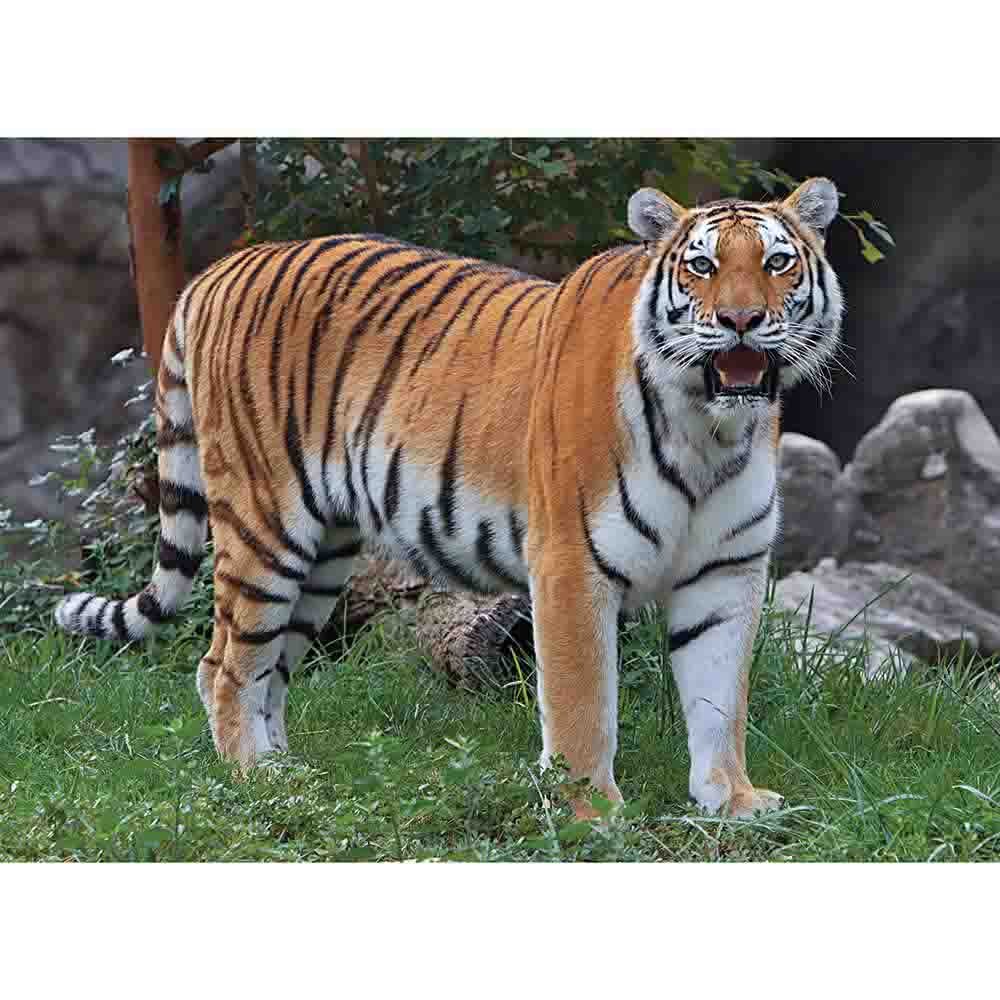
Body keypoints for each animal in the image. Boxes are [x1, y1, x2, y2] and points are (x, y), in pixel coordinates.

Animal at [54, 176, 843, 819]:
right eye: (701, 265)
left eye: (776, 263)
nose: (741, 320)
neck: (712, 429)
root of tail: (217, 270)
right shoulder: (569, 564)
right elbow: (583, 702)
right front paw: (591, 811)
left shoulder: (725, 572)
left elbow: (719, 696)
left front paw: (731, 800)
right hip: (263, 526)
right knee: (224, 665)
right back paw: (254, 779)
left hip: (323, 555)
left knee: (268, 666)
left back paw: (291, 776)